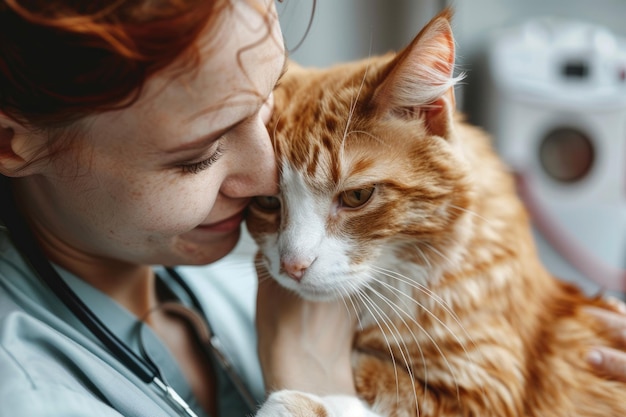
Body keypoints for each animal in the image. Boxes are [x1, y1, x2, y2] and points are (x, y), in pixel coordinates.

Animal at [246, 7, 620, 416]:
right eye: (266, 201)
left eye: (357, 196)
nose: (293, 266)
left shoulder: (486, 394)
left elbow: (387, 383)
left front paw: (300, 403)